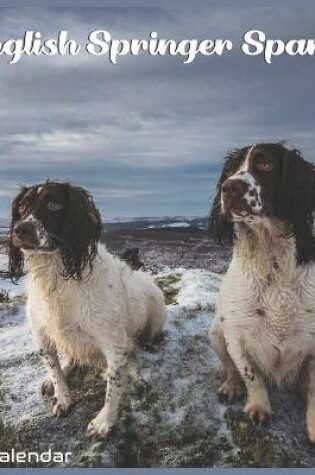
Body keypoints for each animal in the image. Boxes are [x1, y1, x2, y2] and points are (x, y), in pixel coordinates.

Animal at [7, 181, 167, 438]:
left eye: (54, 203)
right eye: (21, 206)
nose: (19, 229)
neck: (56, 276)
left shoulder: (114, 343)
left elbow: (114, 382)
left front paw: (104, 421)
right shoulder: (41, 334)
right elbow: (54, 368)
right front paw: (62, 397)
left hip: (155, 314)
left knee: (136, 349)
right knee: (71, 357)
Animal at [209, 143, 315, 444]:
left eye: (266, 164)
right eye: (230, 170)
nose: (230, 187)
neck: (272, 259)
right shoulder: (235, 331)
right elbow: (250, 374)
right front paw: (259, 406)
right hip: (215, 332)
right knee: (231, 368)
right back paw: (231, 386)